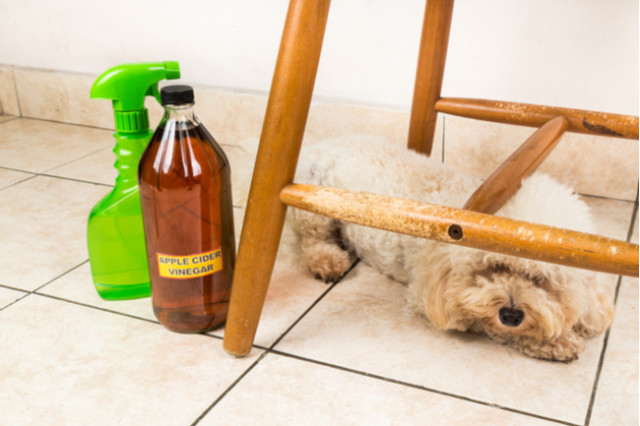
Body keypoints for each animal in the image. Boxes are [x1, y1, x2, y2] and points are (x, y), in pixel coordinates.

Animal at [292, 135, 616, 362]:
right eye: (494, 267)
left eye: (540, 279)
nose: (511, 315)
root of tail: (319, 144)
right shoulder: (431, 295)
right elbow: (483, 321)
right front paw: (554, 340)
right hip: (316, 205)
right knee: (312, 239)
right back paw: (327, 260)